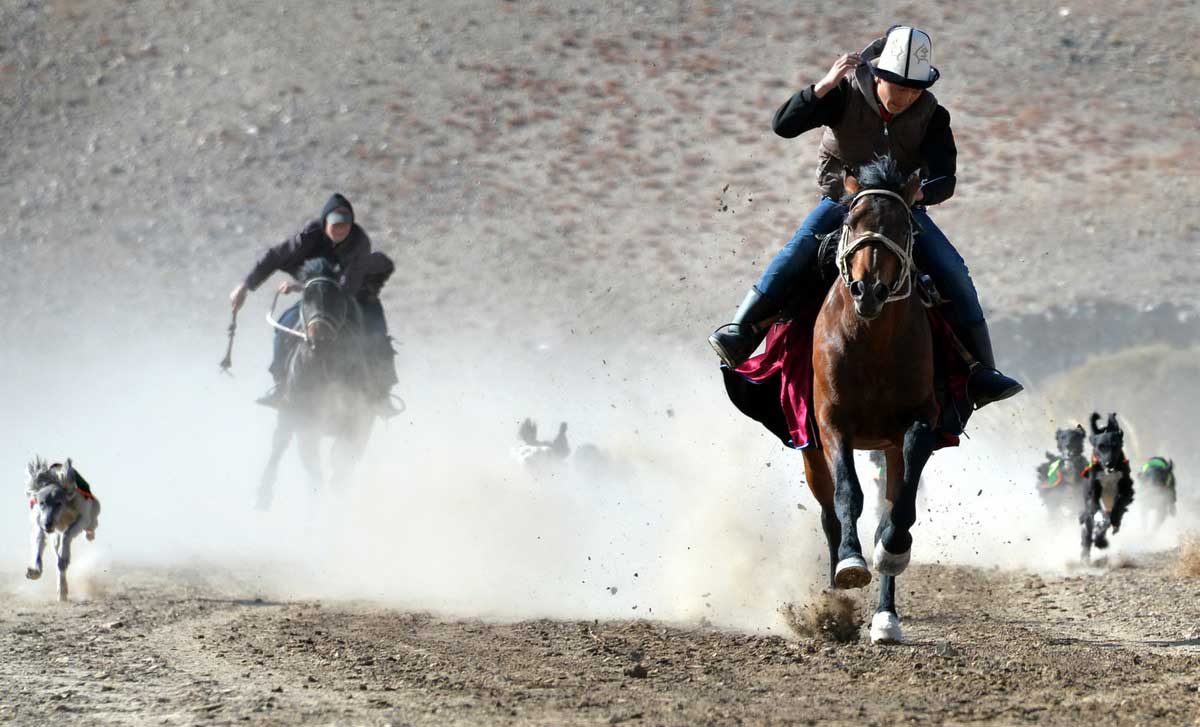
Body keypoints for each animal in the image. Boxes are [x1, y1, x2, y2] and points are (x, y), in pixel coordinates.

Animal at [24, 458, 99, 602]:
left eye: (58, 503)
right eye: (41, 503)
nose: (47, 524)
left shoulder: (83, 516)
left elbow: (67, 534)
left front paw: (64, 556)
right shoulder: (39, 522)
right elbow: (39, 541)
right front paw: (35, 571)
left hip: (93, 514)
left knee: (91, 525)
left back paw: (89, 536)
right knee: (59, 564)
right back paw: (62, 591)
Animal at [258, 259, 374, 511]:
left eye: (337, 298)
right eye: (306, 298)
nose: (319, 339)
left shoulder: (355, 426)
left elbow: (340, 467)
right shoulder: (306, 425)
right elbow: (315, 471)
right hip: (287, 416)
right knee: (279, 444)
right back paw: (263, 496)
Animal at [801, 157, 940, 647]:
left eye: (904, 226)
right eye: (852, 221)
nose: (869, 290)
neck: (872, 341)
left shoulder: (918, 421)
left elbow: (899, 508)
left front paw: (891, 550)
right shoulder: (831, 422)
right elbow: (847, 493)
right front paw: (850, 563)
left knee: (890, 506)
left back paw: (885, 617)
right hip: (809, 449)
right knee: (827, 511)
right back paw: (834, 593)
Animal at [1080, 412, 1132, 561]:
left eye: (1115, 446)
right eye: (1100, 447)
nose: (1108, 463)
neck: (1108, 473)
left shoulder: (1127, 490)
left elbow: (1118, 504)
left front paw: (1113, 521)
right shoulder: (1093, 493)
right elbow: (1096, 512)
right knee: (1087, 532)